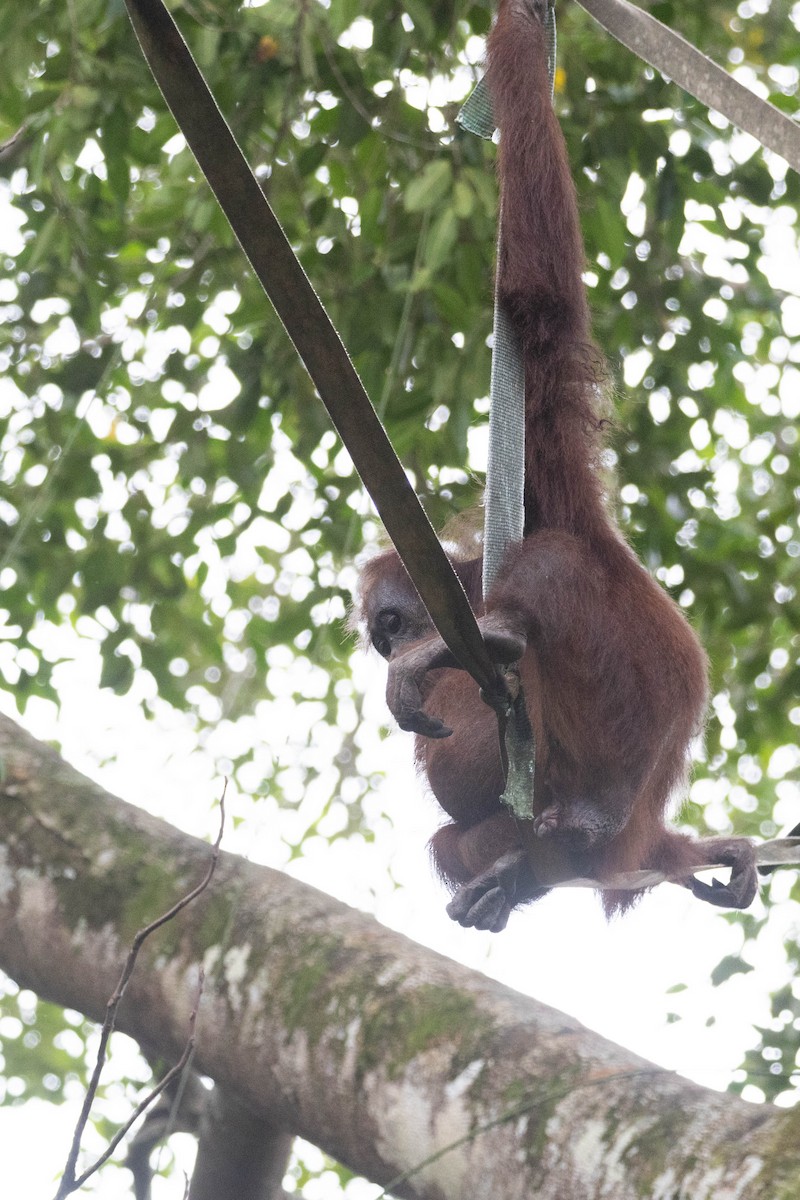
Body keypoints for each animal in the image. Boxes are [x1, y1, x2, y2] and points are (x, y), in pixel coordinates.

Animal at [357, 0, 758, 932]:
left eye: (390, 623)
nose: (392, 643)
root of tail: (630, 835)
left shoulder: (547, 472)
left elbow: (536, 302)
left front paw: (515, 41)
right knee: (459, 840)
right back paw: (531, 874)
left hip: (615, 705)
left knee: (559, 570)